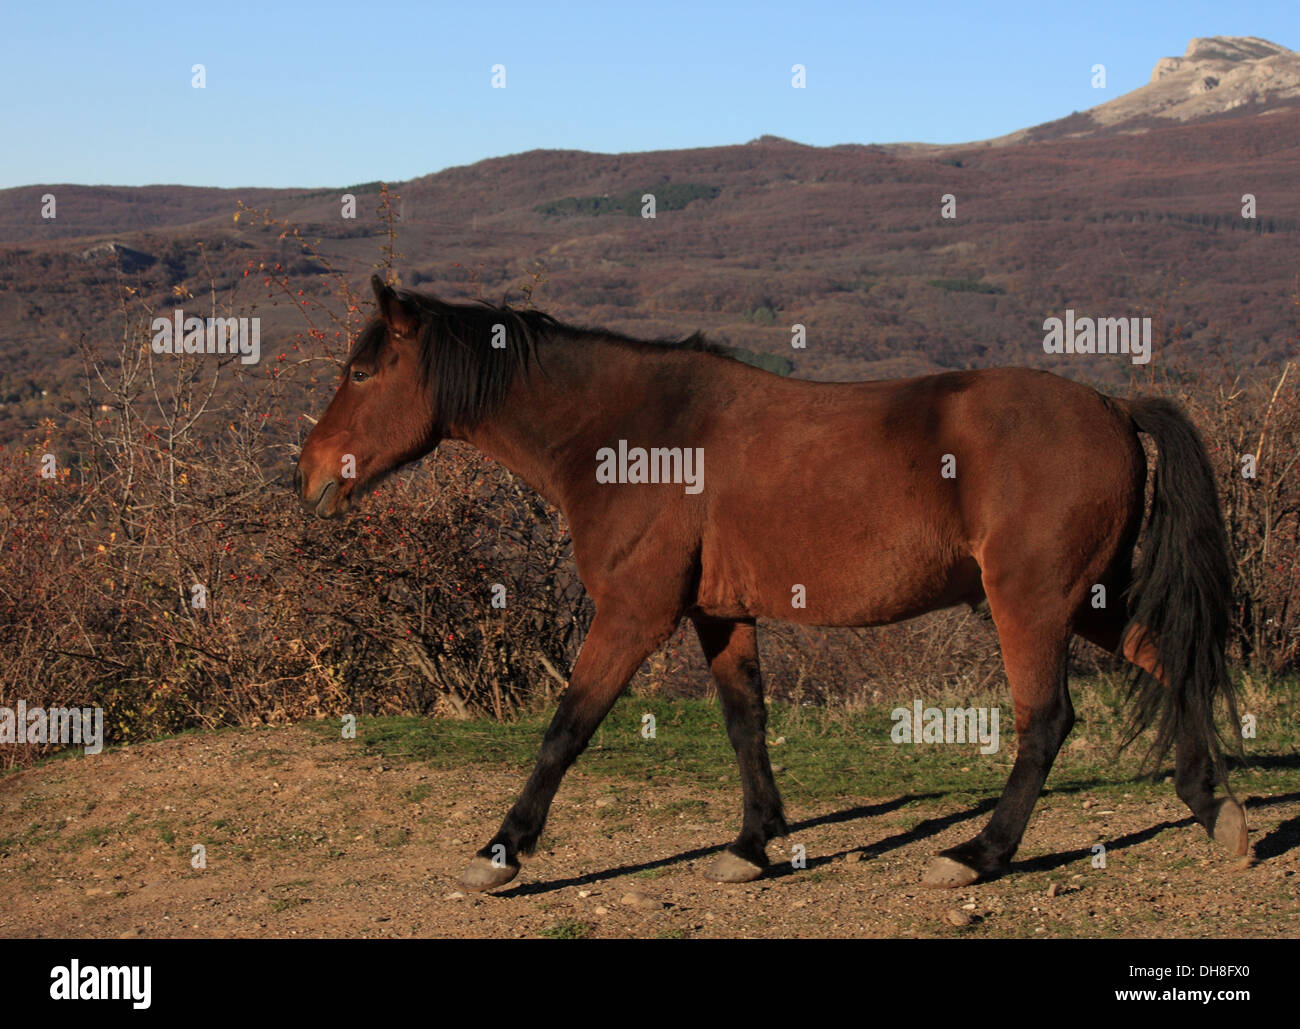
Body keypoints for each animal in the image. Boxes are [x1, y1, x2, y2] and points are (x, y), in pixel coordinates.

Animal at [295, 275, 1248, 893]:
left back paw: (980, 854)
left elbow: (567, 728)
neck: (632, 433)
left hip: (1032, 604)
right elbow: (745, 722)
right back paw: (1217, 810)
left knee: (1047, 721)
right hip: (1086, 602)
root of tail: (1116, 407)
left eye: (363, 372)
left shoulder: (634, 613)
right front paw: (754, 842)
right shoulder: (720, 614)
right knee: (1173, 660)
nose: (307, 473)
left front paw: (502, 851)